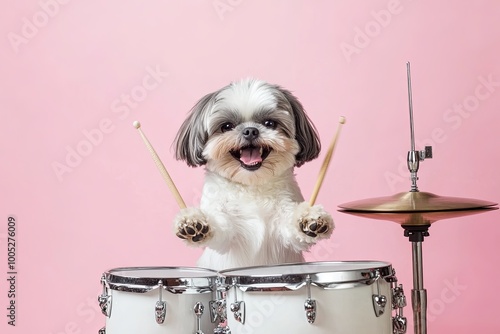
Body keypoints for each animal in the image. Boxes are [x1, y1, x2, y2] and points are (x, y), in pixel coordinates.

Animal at [174, 78, 334, 272]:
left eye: (270, 123)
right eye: (227, 126)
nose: (250, 130)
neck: (251, 184)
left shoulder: (286, 215)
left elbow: (293, 232)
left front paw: (310, 220)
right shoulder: (224, 226)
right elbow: (220, 229)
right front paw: (194, 224)